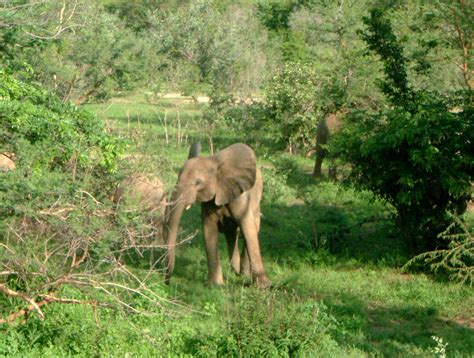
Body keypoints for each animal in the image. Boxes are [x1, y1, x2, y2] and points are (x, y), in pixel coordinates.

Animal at [165, 143, 272, 288]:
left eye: (197, 182)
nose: (168, 282)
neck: (213, 162)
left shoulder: (240, 195)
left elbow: (248, 228)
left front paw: (264, 286)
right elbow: (208, 230)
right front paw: (215, 286)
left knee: (251, 229)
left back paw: (243, 274)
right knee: (231, 232)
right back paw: (237, 271)